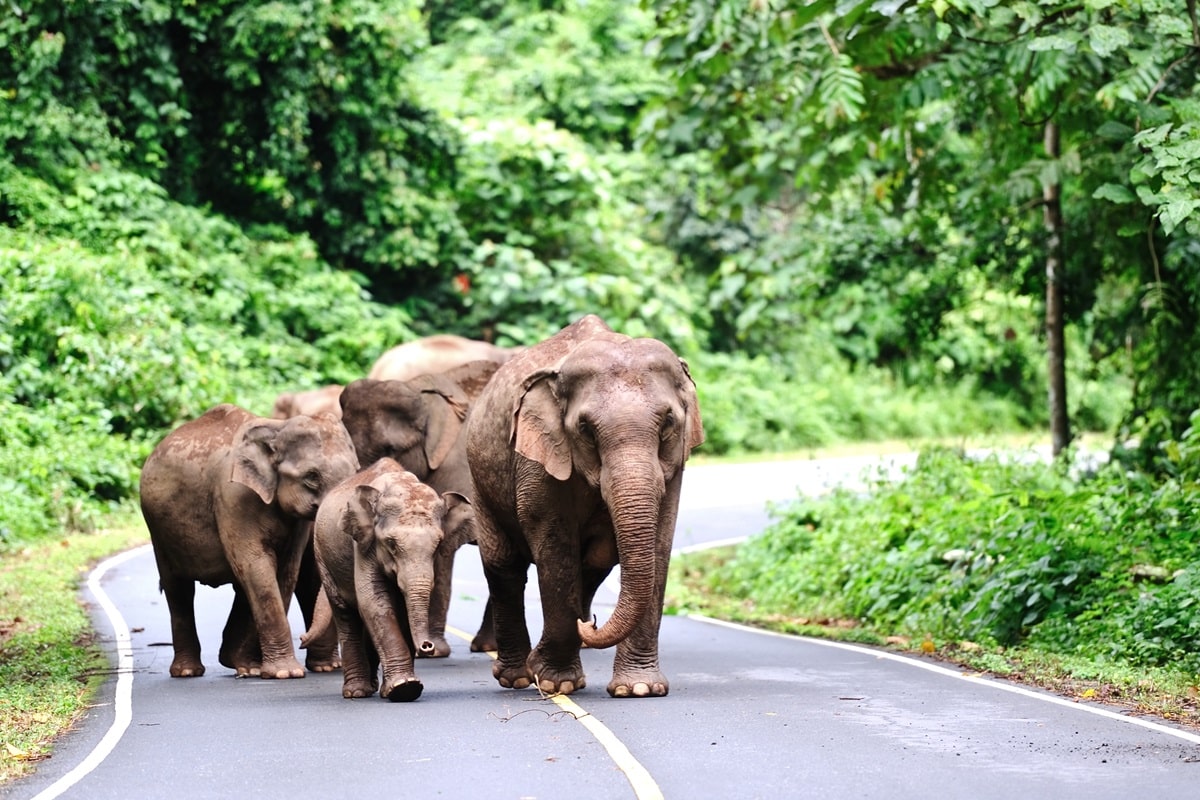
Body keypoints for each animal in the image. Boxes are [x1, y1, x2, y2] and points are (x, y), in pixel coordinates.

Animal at [138, 402, 357, 681]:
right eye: (311, 476)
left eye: (357, 471)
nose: (302, 639)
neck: (276, 428)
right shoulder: (233, 497)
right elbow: (256, 565)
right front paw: (284, 673)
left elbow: (284, 570)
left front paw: (261, 669)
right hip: (158, 530)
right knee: (178, 589)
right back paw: (188, 671)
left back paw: (244, 665)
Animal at [304, 455, 472, 700]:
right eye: (391, 544)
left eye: (439, 544)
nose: (428, 647)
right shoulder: (363, 544)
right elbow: (374, 602)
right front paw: (405, 688)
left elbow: (398, 608)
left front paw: (399, 689)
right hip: (323, 556)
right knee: (345, 614)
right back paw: (356, 692)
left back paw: (374, 688)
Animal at [458, 316, 700, 695]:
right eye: (585, 429)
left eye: (668, 424)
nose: (593, 623)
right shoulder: (537, 458)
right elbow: (556, 548)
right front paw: (556, 683)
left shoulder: (674, 467)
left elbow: (660, 544)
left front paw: (639, 689)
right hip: (480, 481)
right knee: (504, 566)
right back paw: (518, 678)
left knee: (595, 565)